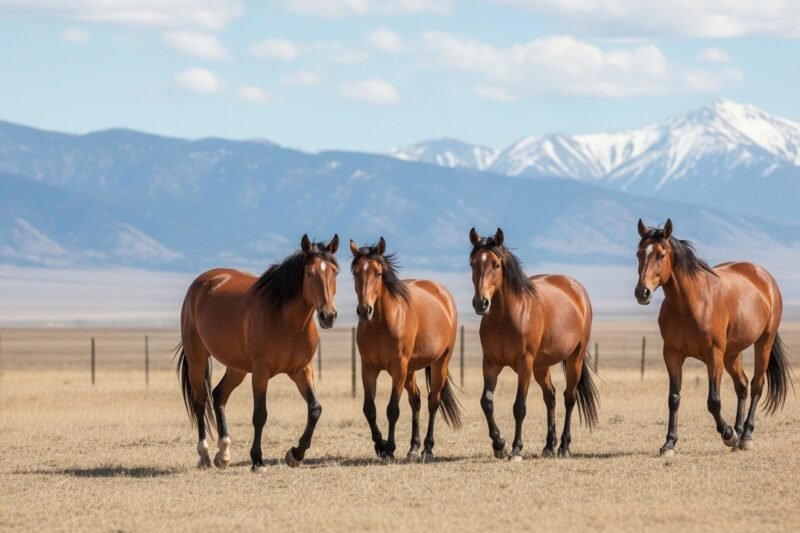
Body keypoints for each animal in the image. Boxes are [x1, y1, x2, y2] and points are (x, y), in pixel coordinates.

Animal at [176, 234, 340, 471]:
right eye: (309, 273)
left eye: (335, 272)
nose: (328, 316)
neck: (288, 322)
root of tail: (200, 283)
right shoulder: (261, 373)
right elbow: (260, 415)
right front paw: (257, 460)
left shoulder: (302, 370)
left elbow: (315, 409)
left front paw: (295, 454)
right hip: (197, 358)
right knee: (200, 402)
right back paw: (204, 455)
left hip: (237, 367)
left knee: (218, 395)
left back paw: (223, 453)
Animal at [349, 237, 462, 461]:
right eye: (355, 272)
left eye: (378, 273)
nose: (365, 310)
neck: (381, 324)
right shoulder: (368, 368)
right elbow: (369, 409)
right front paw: (380, 446)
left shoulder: (398, 368)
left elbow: (392, 409)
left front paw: (390, 449)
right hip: (410, 369)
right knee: (416, 400)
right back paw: (413, 448)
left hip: (439, 363)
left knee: (433, 401)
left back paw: (427, 449)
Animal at [469, 227, 598, 461]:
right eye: (473, 263)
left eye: (496, 264)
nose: (481, 303)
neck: (506, 317)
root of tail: (576, 289)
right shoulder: (490, 364)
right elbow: (487, 402)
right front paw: (499, 445)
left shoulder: (525, 364)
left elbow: (519, 406)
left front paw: (516, 449)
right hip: (541, 366)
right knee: (551, 396)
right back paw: (548, 446)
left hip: (574, 358)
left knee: (569, 398)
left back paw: (564, 446)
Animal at [635, 219, 792, 456]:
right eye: (639, 254)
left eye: (661, 255)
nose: (642, 292)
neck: (689, 305)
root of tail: (764, 277)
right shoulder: (672, 355)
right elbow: (674, 398)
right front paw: (669, 443)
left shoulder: (714, 356)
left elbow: (714, 401)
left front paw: (727, 434)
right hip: (732, 353)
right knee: (742, 385)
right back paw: (738, 432)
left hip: (763, 343)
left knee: (756, 385)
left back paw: (745, 435)